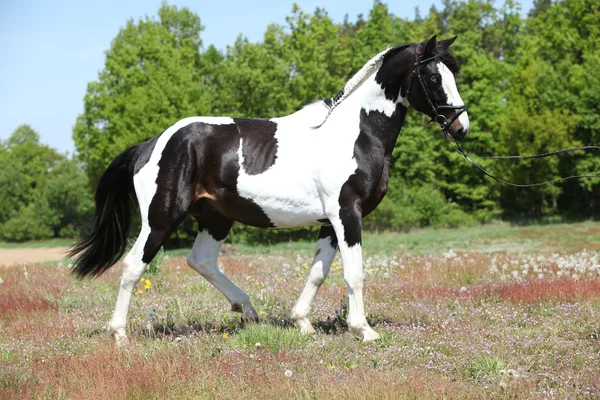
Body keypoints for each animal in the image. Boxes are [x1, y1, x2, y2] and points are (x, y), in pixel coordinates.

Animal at [70, 36, 472, 344]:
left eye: (453, 73)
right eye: (433, 76)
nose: (460, 127)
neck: (356, 133)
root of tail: (151, 145)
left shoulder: (330, 222)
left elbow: (318, 272)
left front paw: (302, 323)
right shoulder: (347, 214)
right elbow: (353, 272)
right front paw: (364, 330)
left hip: (214, 218)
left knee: (201, 261)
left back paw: (248, 311)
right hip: (161, 218)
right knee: (133, 266)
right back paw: (120, 334)